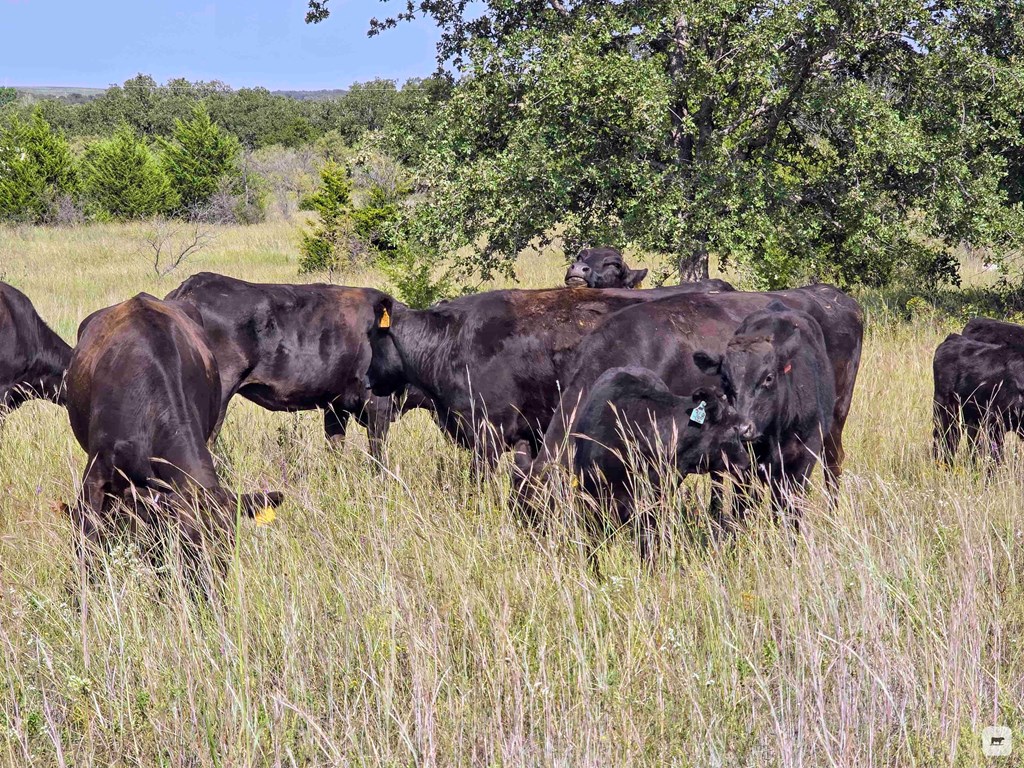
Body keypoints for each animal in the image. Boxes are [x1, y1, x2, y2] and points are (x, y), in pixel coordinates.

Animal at [692, 303, 835, 528]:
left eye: (768, 378)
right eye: (725, 379)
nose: (743, 429)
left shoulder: (805, 455)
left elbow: (791, 507)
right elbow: (742, 504)